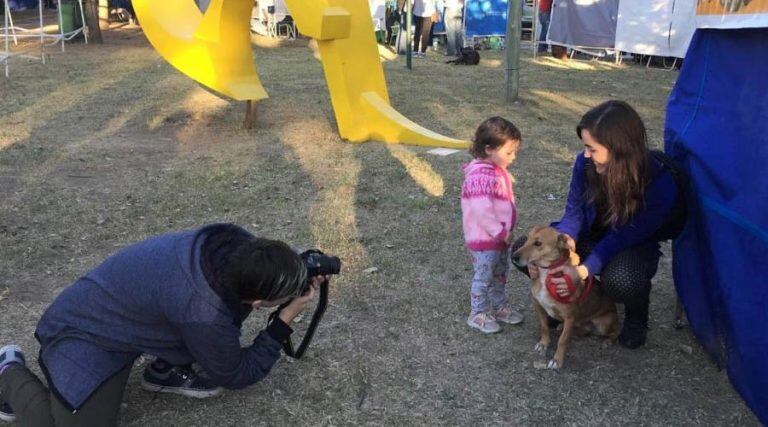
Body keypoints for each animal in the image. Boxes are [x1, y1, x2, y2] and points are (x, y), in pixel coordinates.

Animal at [510, 227, 616, 372]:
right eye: (527, 239)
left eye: (538, 243)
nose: (513, 257)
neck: (546, 273)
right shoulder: (538, 305)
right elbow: (544, 327)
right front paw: (543, 344)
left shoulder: (570, 317)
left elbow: (563, 340)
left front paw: (557, 360)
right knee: (583, 331)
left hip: (604, 323)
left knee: (614, 332)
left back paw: (608, 341)